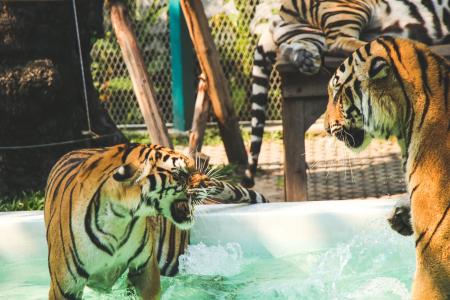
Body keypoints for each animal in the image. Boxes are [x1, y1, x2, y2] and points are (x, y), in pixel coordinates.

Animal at [243, 0, 450, 188]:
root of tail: (279, 14)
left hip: (308, 34)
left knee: (296, 47)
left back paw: (306, 59)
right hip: (347, 9)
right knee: (338, 42)